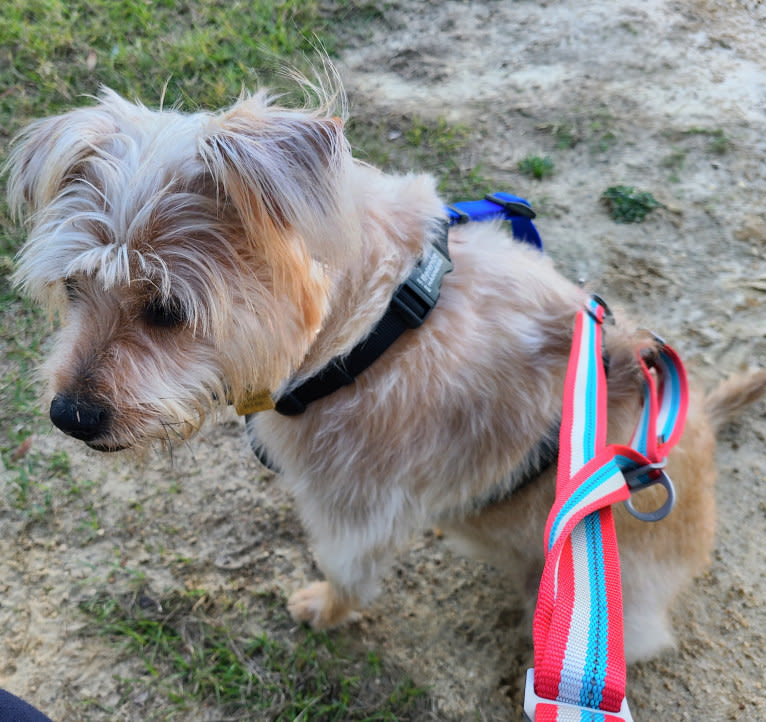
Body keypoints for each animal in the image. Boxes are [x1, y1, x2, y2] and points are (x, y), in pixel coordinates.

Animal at [7, 74, 766, 664]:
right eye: (73, 287)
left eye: (166, 309)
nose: (68, 416)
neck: (373, 328)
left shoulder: (355, 509)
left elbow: (347, 571)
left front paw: (324, 608)